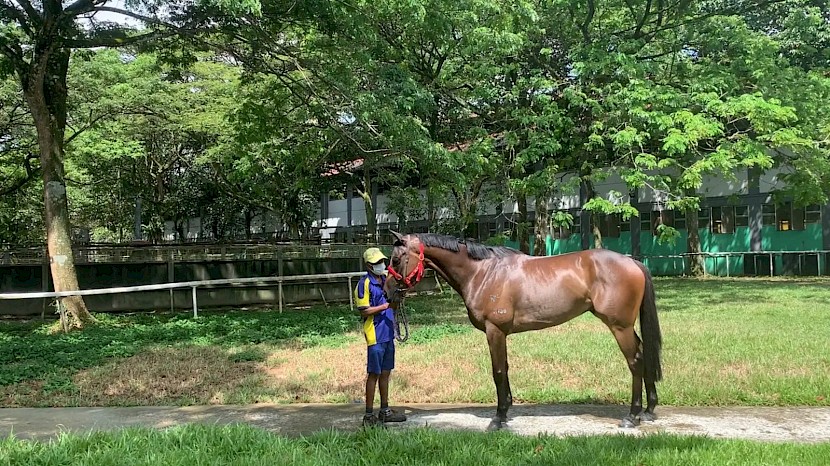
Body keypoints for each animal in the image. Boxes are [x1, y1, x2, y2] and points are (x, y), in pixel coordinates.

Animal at [386, 231, 668, 432]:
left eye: (396, 259)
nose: (388, 292)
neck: (483, 272)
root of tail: (632, 262)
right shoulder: (500, 334)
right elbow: (506, 368)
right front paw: (506, 410)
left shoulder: (494, 331)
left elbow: (498, 371)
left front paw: (498, 418)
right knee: (645, 355)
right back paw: (648, 410)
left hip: (620, 327)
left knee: (636, 362)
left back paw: (632, 416)